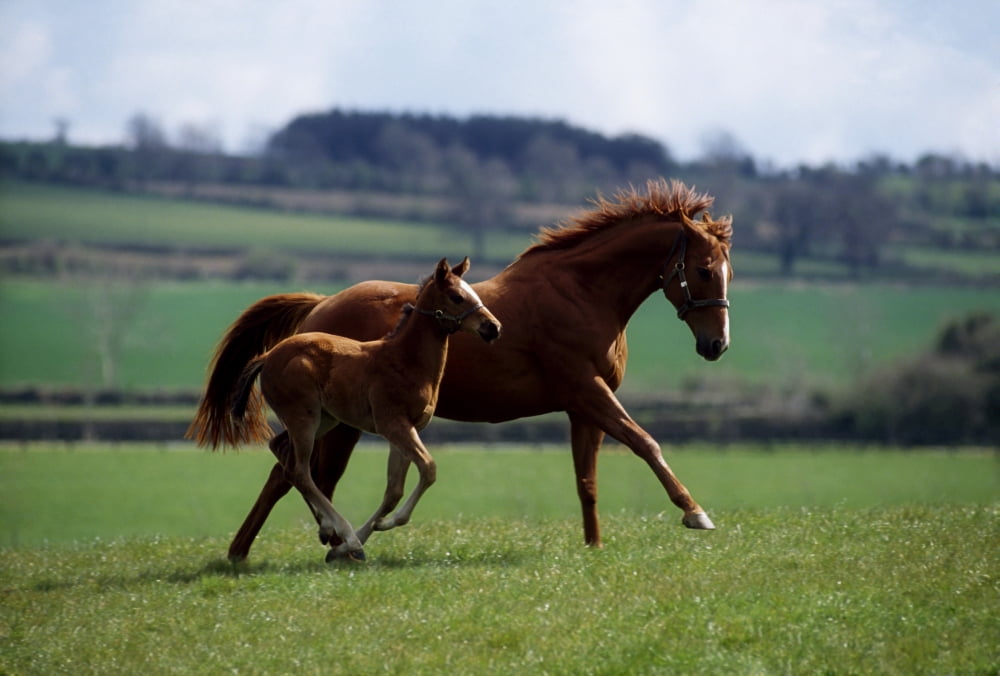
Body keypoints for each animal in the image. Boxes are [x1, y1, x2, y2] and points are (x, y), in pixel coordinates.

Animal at [225, 257, 501, 561]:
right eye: (456, 296)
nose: (493, 327)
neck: (404, 359)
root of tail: (268, 355)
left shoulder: (407, 428)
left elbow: (394, 490)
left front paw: (375, 527)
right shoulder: (393, 424)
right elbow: (428, 468)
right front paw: (359, 539)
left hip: (325, 420)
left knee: (282, 451)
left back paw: (329, 529)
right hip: (304, 419)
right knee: (300, 472)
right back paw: (344, 534)